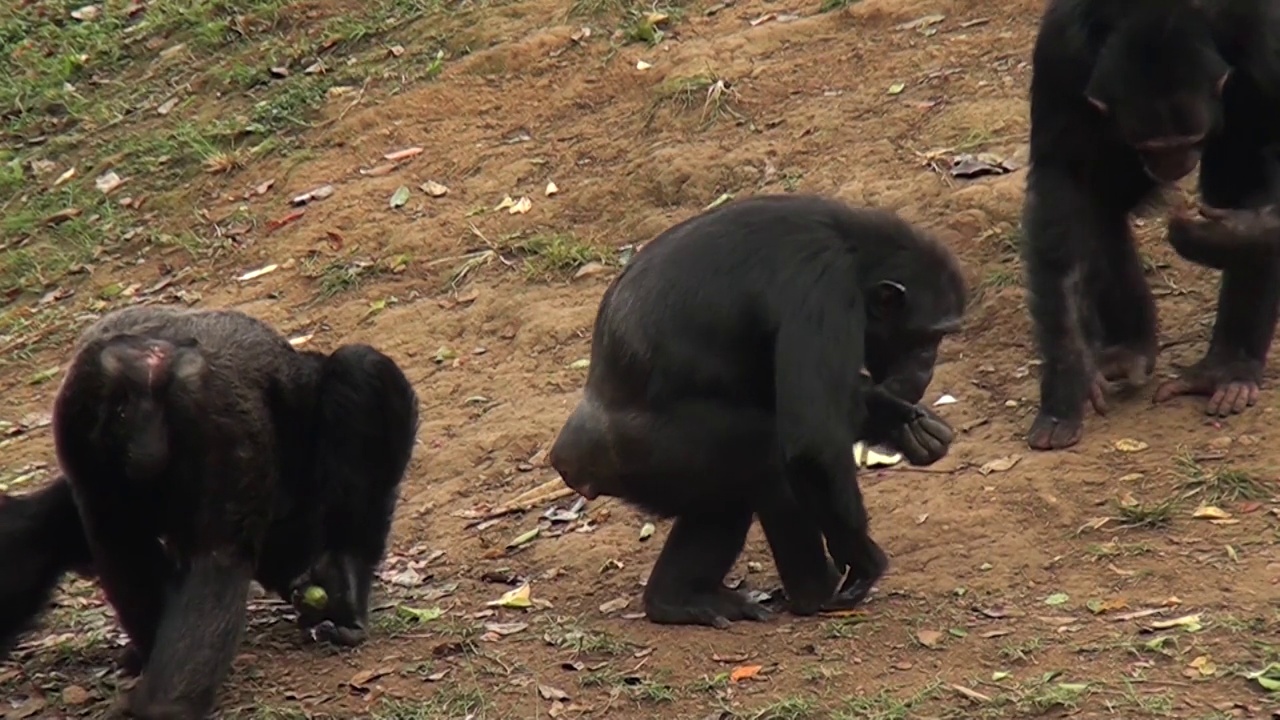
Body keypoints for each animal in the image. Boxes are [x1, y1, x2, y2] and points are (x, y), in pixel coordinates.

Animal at [545, 193, 962, 625]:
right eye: (927, 337)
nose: (928, 365)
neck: (857, 255)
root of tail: (571, 457)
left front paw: (905, 424)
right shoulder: (825, 290)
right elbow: (812, 440)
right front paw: (865, 563)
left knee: (727, 499)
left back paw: (677, 598)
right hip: (649, 452)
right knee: (769, 464)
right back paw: (814, 593)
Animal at [1024, 0, 1280, 448]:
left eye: (1188, 141)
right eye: (1151, 146)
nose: (1171, 164)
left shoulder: (1260, 34)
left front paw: (1224, 236)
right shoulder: (1061, 53)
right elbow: (1065, 183)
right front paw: (1066, 383)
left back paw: (1229, 368)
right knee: (1100, 196)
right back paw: (1127, 349)